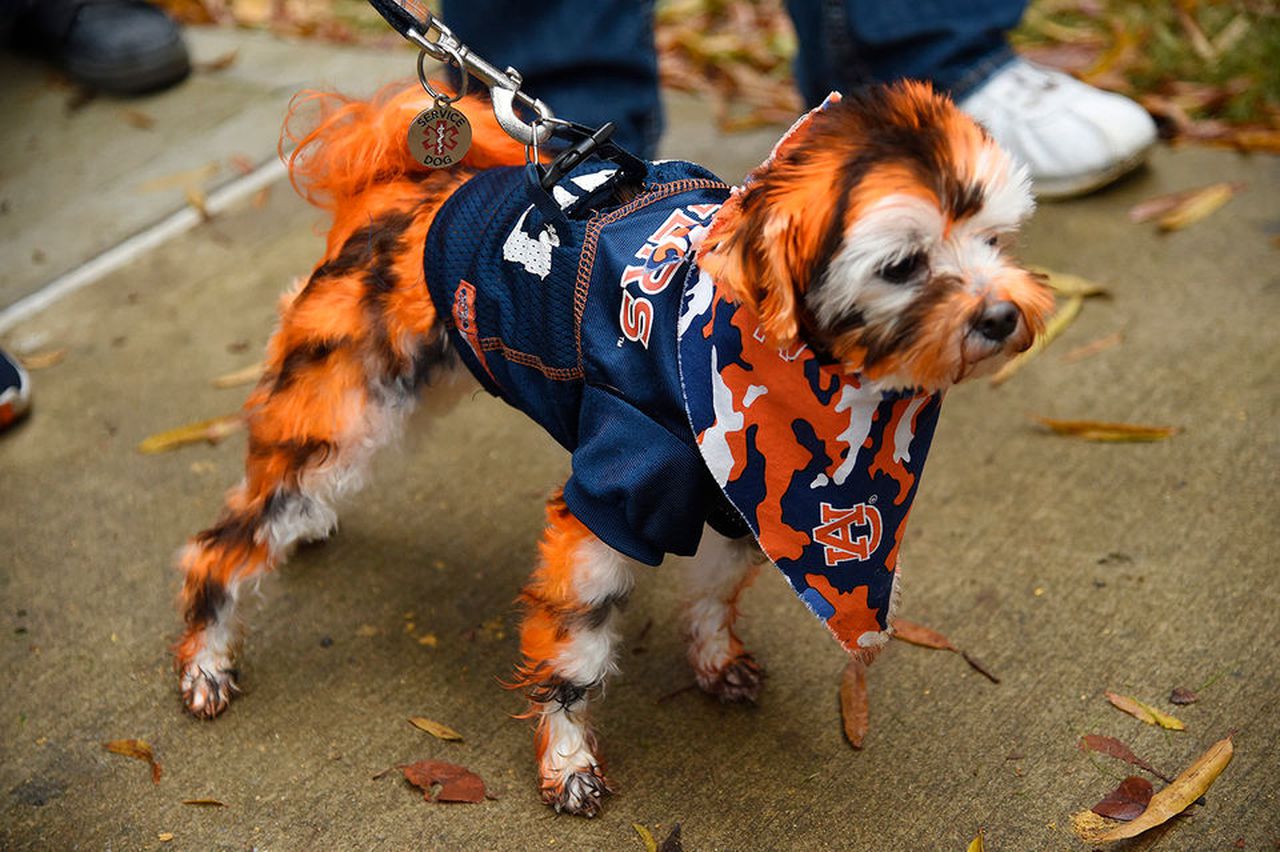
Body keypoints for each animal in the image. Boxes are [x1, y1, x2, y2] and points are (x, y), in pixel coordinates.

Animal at [172, 81, 1049, 818]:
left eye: (996, 241)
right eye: (902, 266)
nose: (1005, 316)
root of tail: (403, 186)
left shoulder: (746, 494)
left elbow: (713, 594)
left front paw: (712, 659)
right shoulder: (615, 500)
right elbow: (577, 649)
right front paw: (567, 761)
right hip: (339, 412)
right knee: (225, 541)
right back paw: (207, 658)